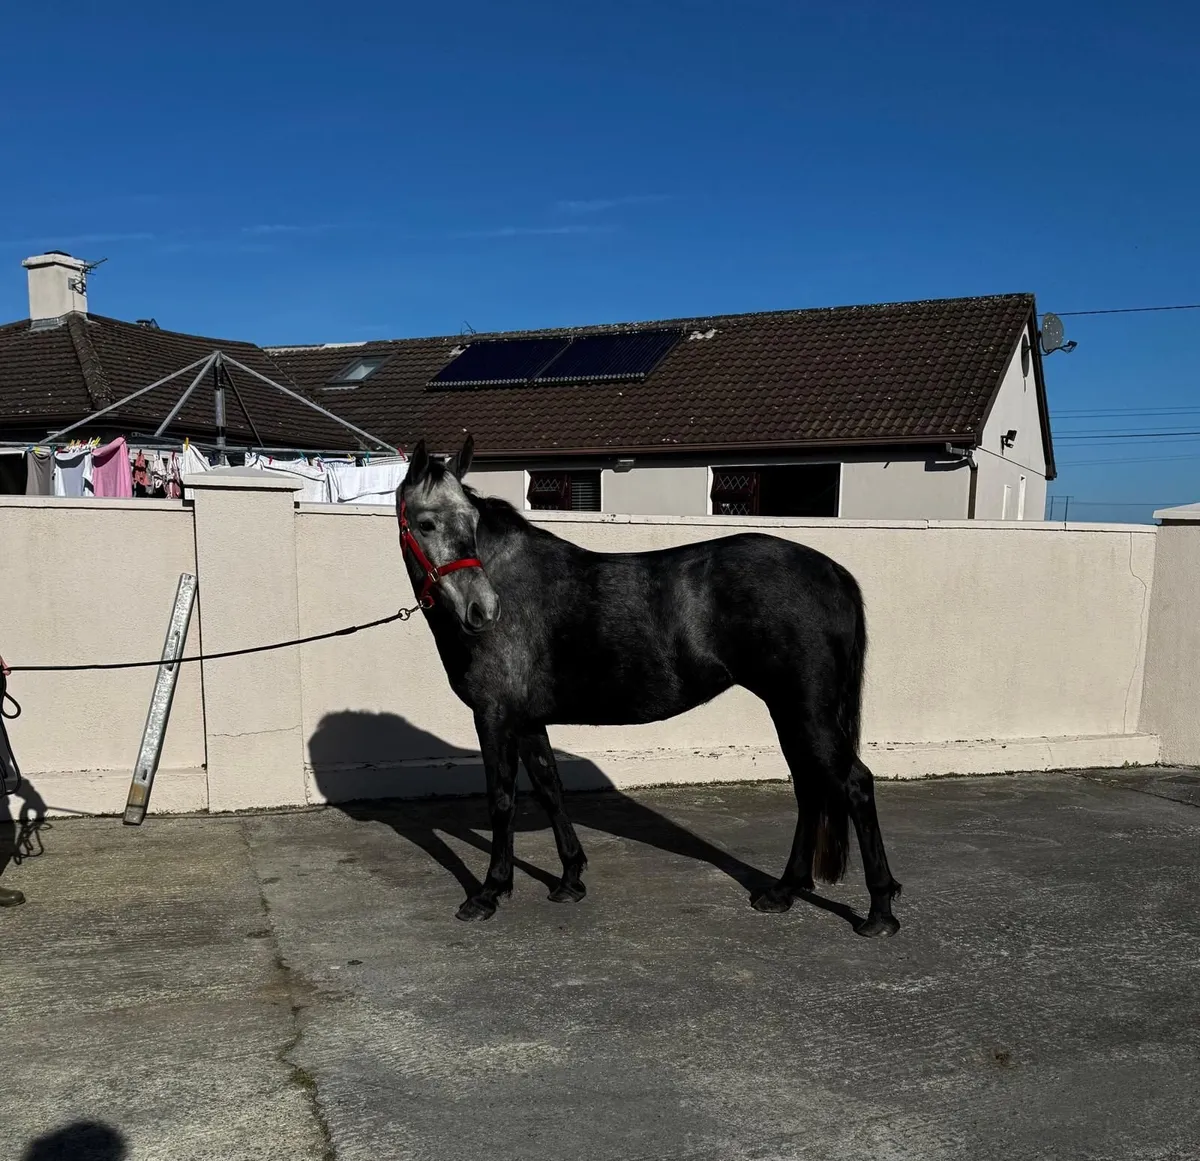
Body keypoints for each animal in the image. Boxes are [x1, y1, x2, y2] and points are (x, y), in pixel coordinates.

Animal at [395, 435, 902, 936]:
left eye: (471, 522)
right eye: (426, 523)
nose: (482, 610)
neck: (509, 584)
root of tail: (832, 572)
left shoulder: (495, 716)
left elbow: (502, 800)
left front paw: (488, 893)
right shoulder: (527, 721)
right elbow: (549, 788)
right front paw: (570, 879)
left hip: (806, 710)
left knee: (854, 784)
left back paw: (879, 912)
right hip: (790, 710)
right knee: (810, 787)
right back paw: (783, 892)